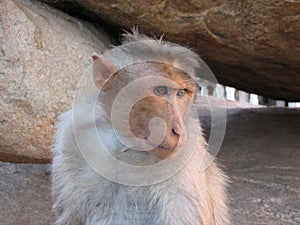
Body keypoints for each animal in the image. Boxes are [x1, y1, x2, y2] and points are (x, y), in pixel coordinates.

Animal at [51, 30, 230, 225]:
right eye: (160, 90)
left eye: (181, 93)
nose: (178, 131)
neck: (127, 145)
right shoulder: (74, 137)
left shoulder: (186, 162)